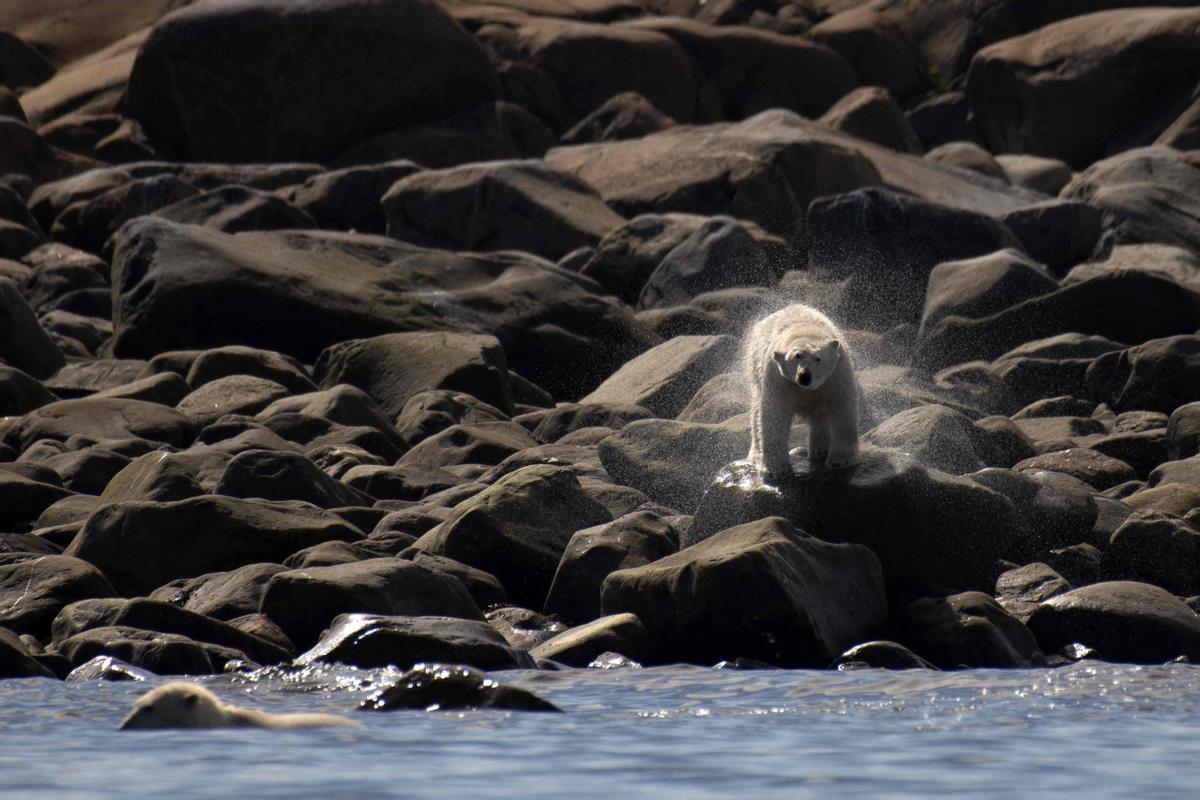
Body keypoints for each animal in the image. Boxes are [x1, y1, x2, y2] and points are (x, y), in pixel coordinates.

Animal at [744, 299, 859, 474]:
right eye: (796, 356)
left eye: (818, 358)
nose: (804, 376)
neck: (804, 328)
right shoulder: (779, 378)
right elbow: (775, 413)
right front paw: (776, 468)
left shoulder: (837, 373)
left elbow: (842, 406)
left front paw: (840, 460)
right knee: (756, 414)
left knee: (820, 414)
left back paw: (820, 450)